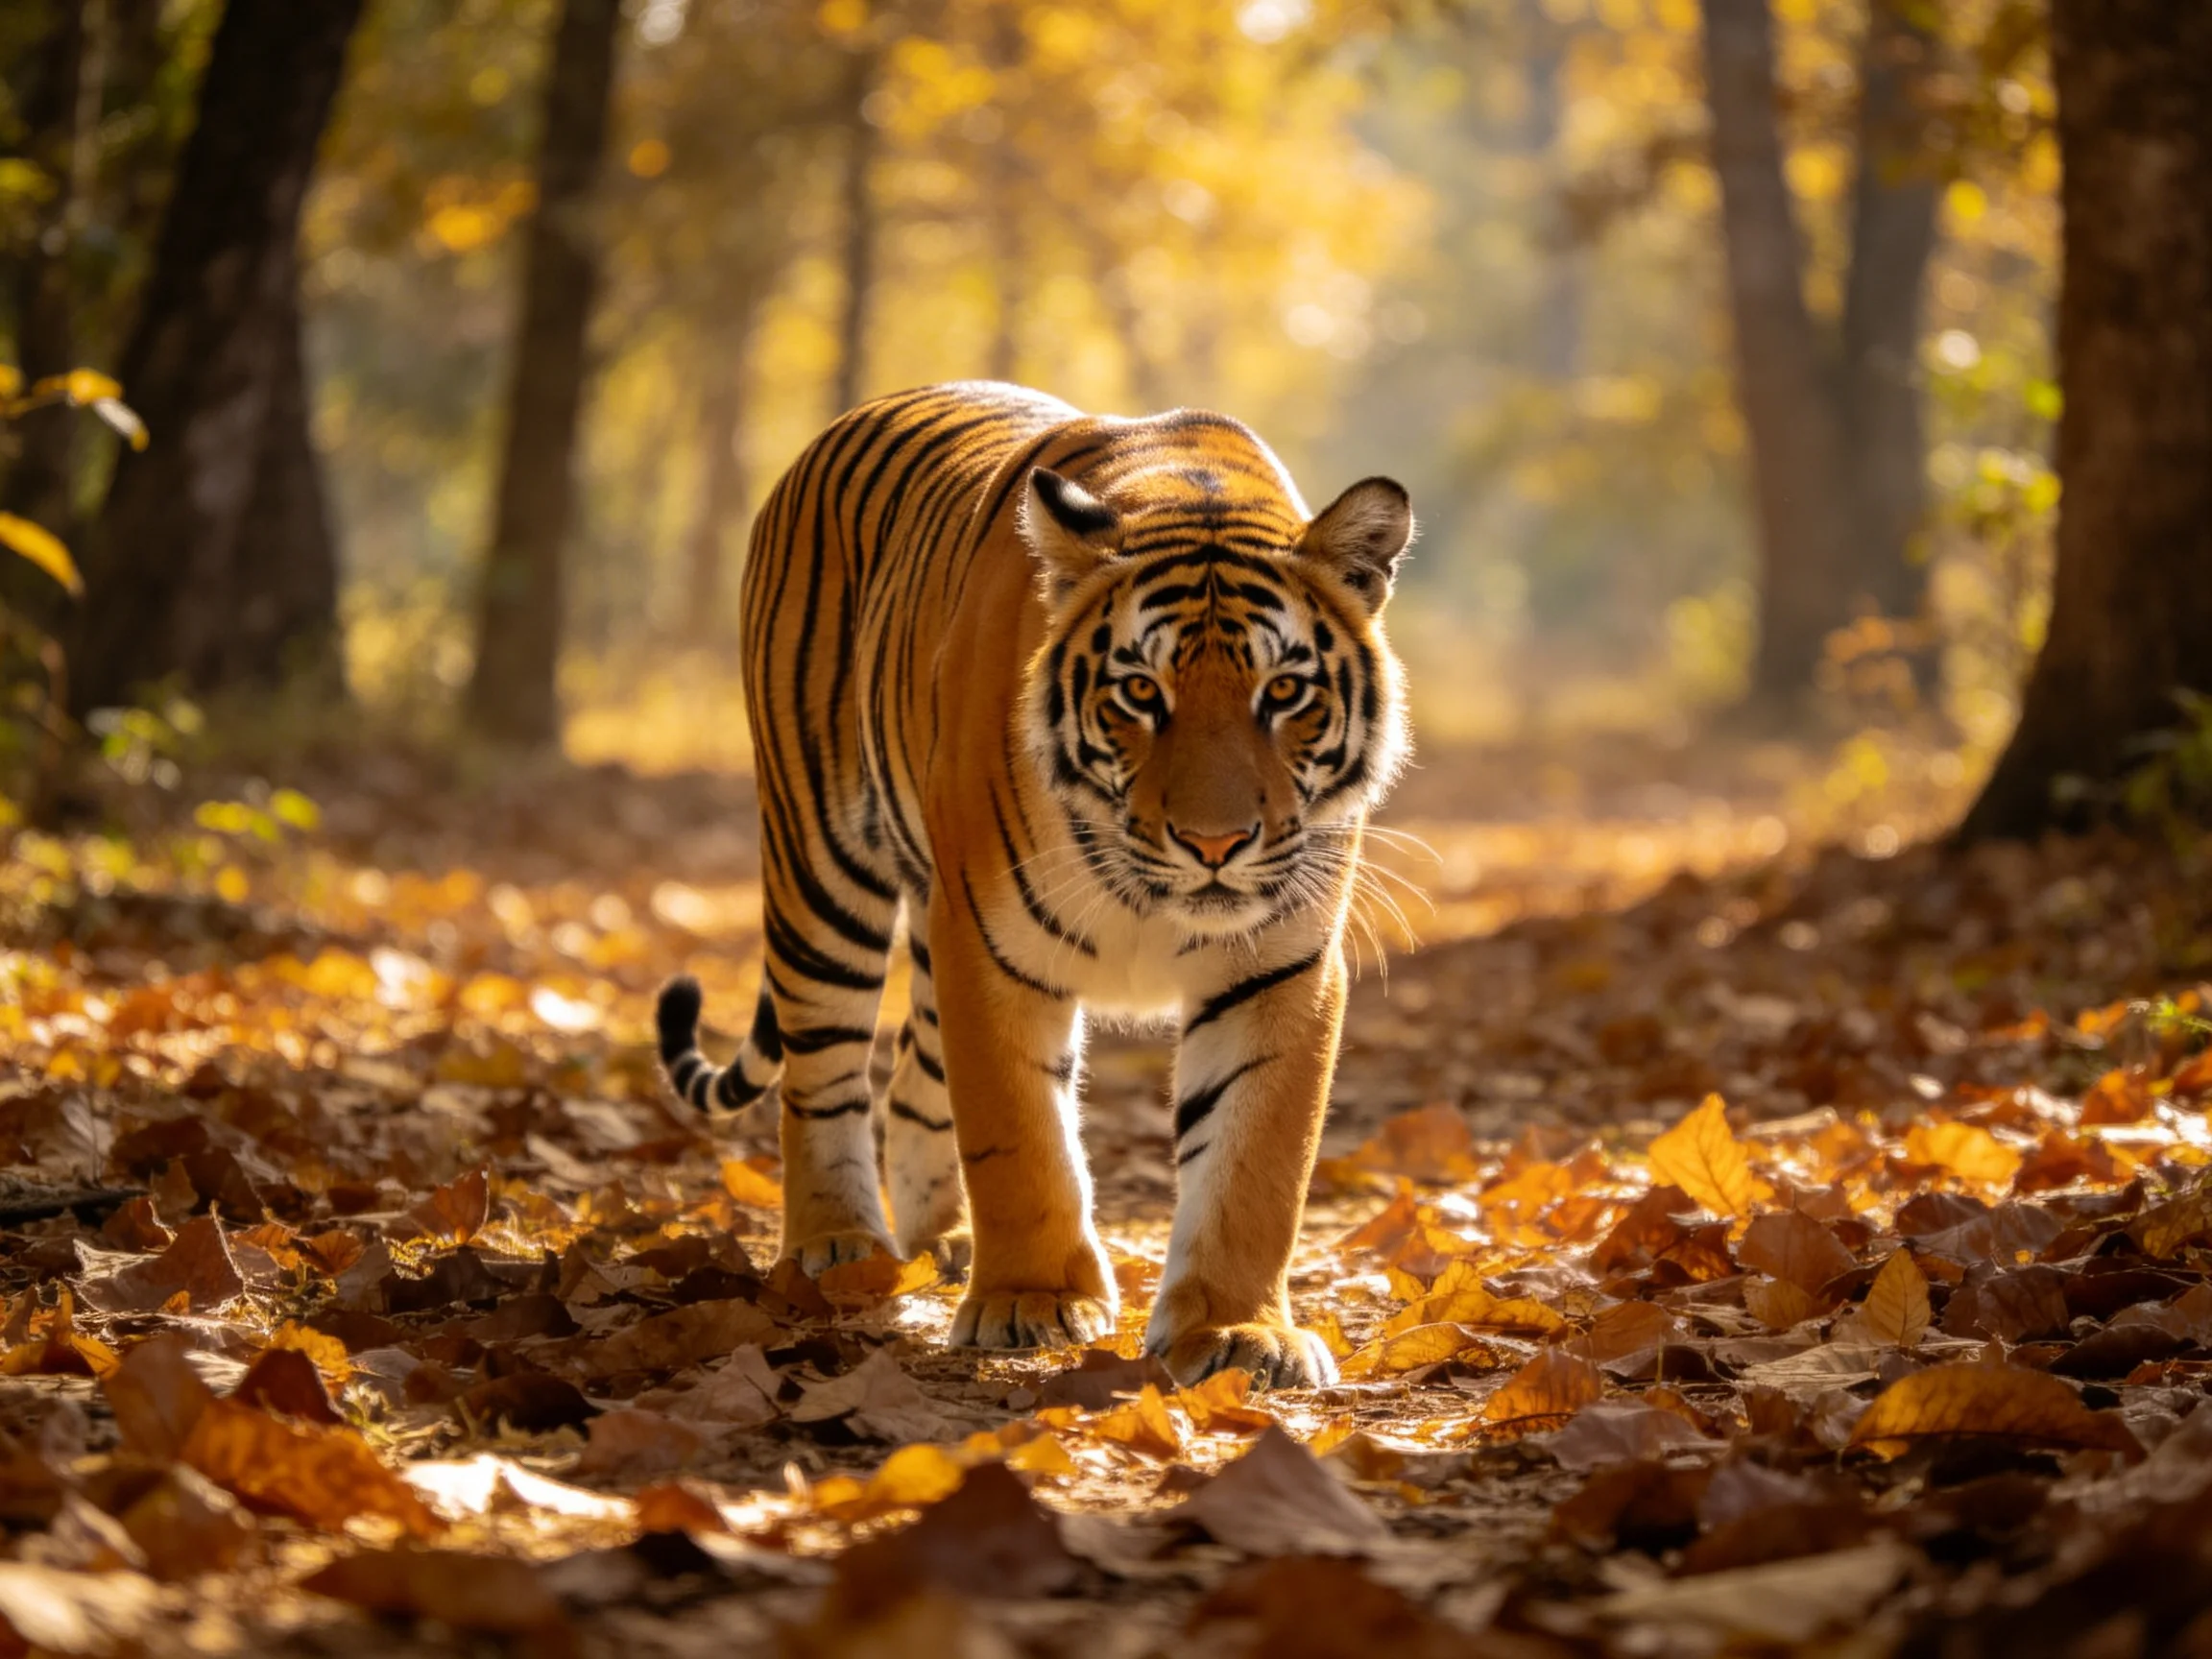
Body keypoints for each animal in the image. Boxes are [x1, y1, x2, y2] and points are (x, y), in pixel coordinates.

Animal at [656, 381, 1412, 1387]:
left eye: (1284, 693)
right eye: (1141, 693)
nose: (1213, 843)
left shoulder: (1279, 964)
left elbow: (1255, 1163)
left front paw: (1238, 1331)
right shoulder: (989, 944)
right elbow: (1018, 1138)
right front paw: (1033, 1302)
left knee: (911, 1075)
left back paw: (942, 1245)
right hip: (820, 864)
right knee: (822, 1071)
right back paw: (838, 1249)